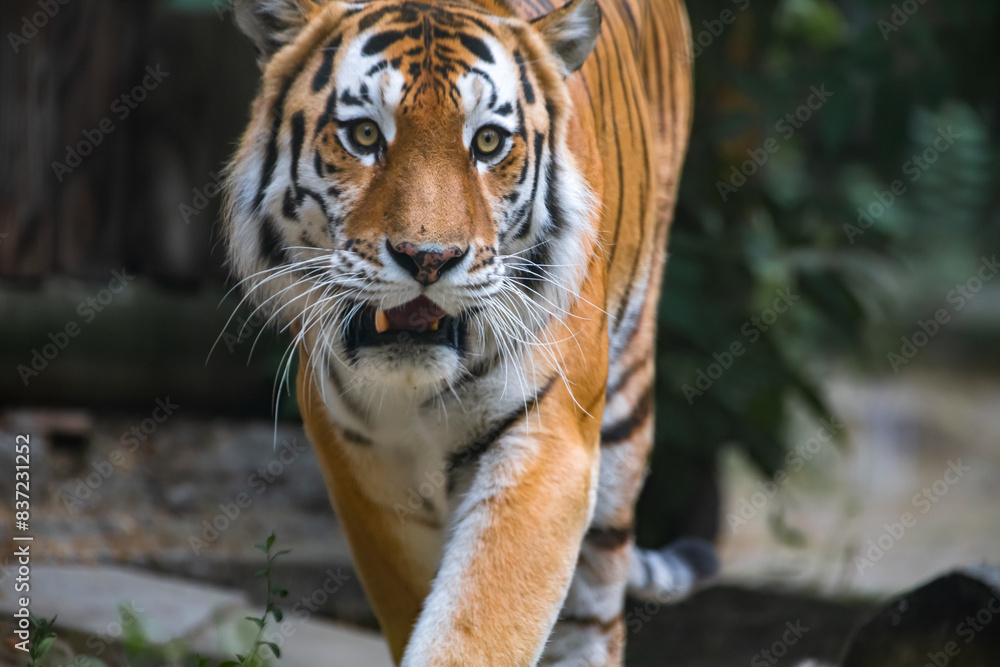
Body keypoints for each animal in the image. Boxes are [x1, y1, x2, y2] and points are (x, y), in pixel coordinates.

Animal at [222, 0, 716, 664]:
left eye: (487, 142)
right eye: (365, 135)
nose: (428, 258)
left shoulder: (547, 440)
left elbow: (477, 622)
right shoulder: (361, 463)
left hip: (625, 410)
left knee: (596, 612)